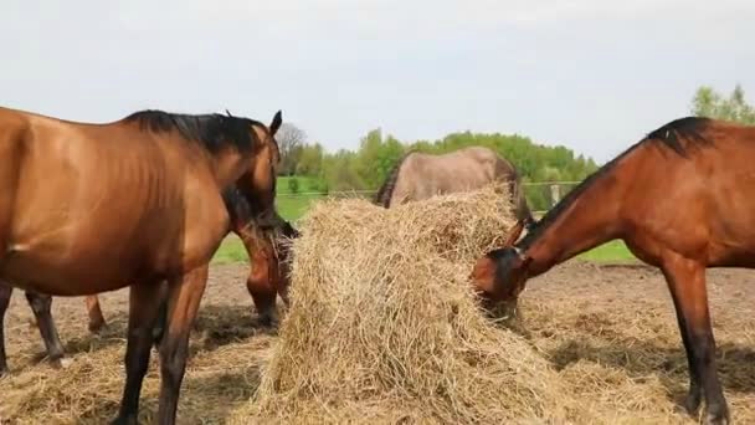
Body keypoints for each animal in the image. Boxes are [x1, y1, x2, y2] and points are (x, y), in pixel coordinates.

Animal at [0, 105, 284, 425]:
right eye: (275, 160)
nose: (268, 219)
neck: (196, 158)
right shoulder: (190, 275)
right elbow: (172, 357)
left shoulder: (148, 280)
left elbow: (137, 352)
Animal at [471, 117, 755, 425]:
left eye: (487, 290)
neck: (645, 178)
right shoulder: (672, 268)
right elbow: (687, 338)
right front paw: (690, 405)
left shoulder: (686, 265)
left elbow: (700, 340)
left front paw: (714, 413)